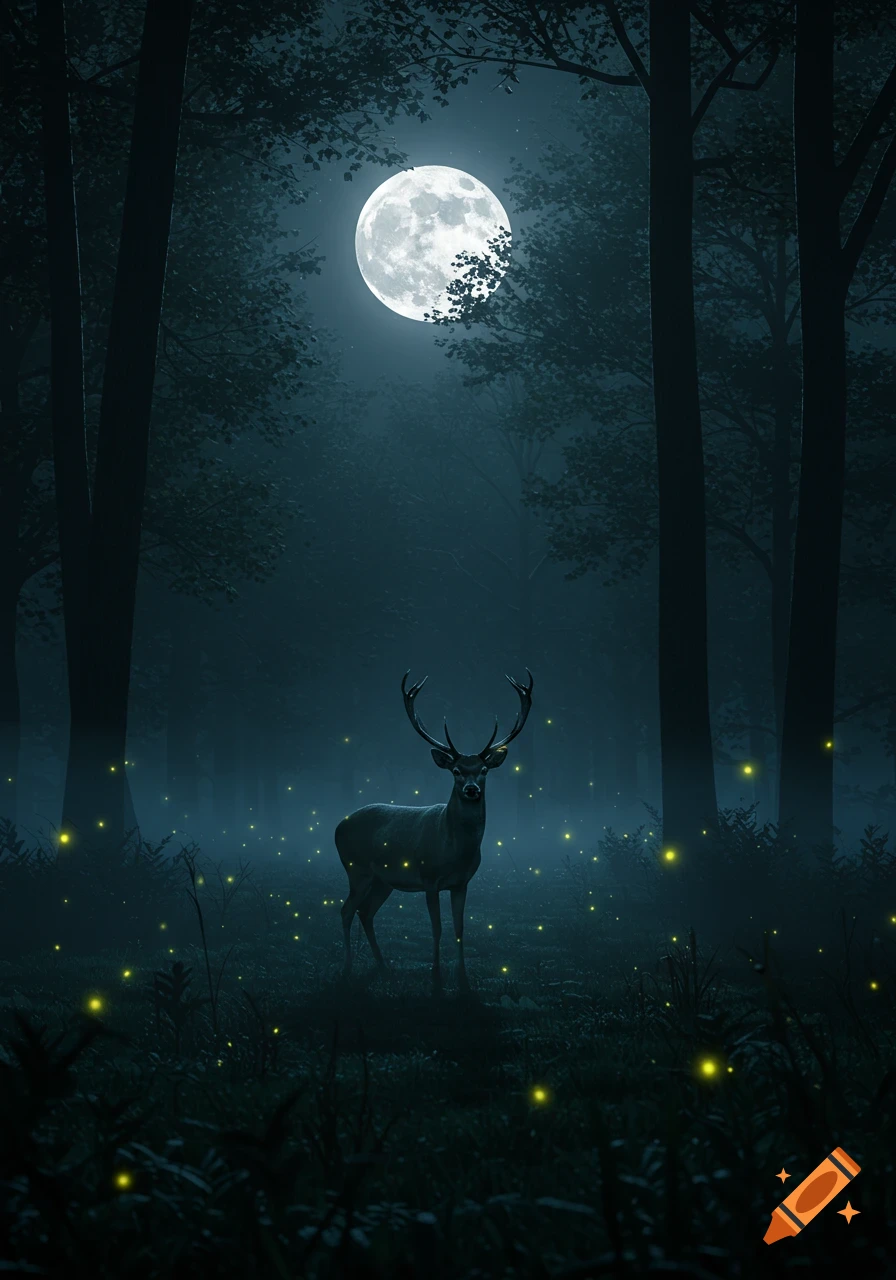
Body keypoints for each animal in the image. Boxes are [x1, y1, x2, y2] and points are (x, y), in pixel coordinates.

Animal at [336, 669, 533, 991]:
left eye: (484, 770)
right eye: (456, 771)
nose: (471, 789)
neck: (453, 850)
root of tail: (338, 825)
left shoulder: (462, 883)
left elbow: (459, 927)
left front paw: (463, 979)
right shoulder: (428, 877)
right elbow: (437, 927)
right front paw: (436, 976)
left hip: (383, 880)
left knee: (366, 911)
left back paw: (384, 968)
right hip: (357, 868)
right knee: (346, 909)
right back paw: (348, 969)